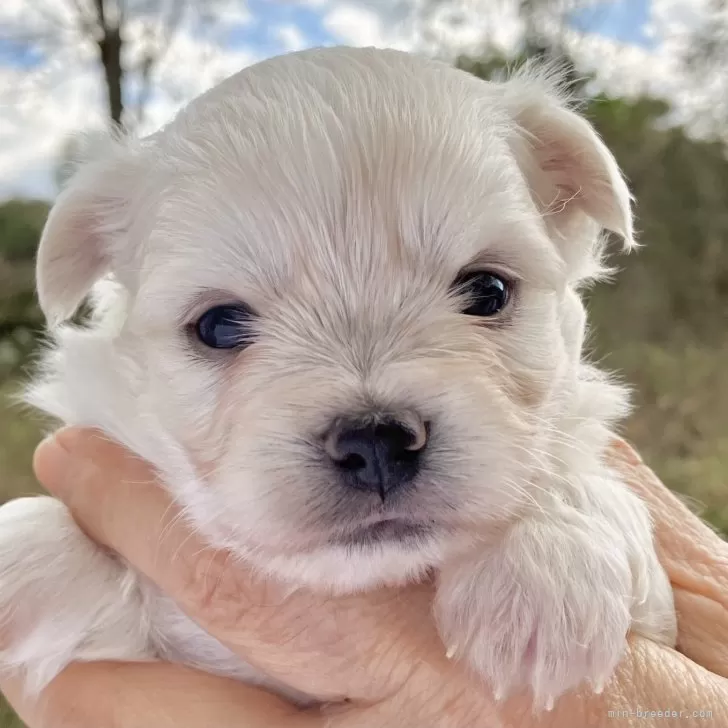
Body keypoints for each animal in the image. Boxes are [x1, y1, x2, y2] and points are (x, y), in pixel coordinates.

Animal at [0, 45, 676, 712]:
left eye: (489, 290)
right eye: (218, 326)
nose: (376, 441)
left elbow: (578, 474)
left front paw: (543, 560)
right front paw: (23, 553)